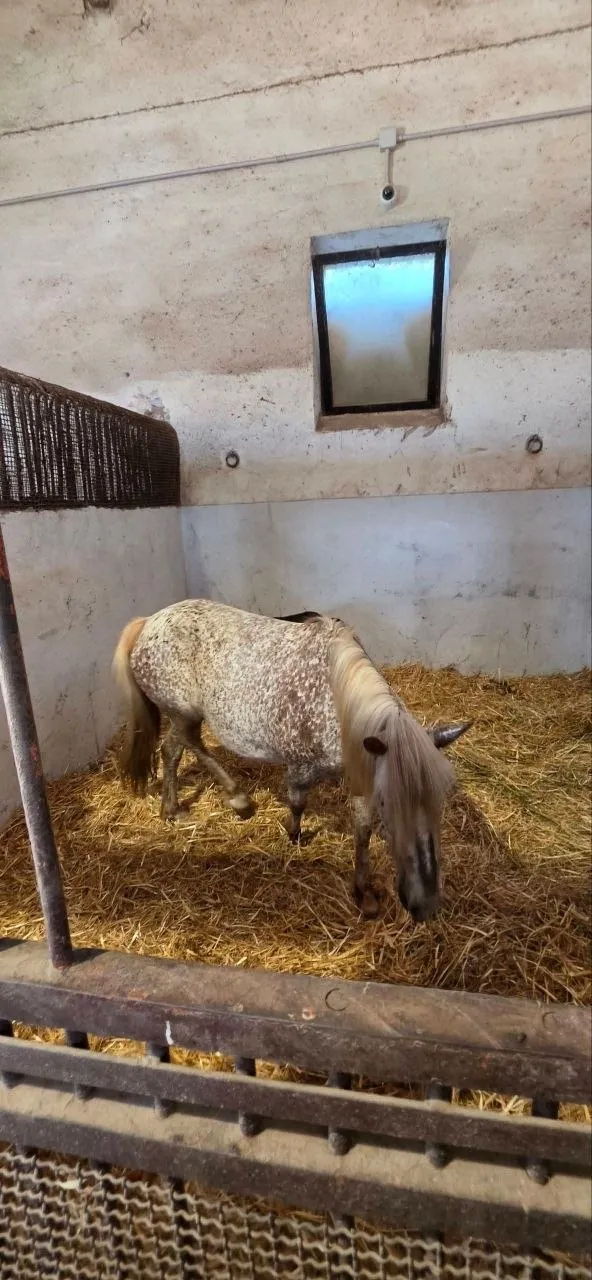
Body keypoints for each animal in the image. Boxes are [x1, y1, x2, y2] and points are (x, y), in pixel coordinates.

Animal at [113, 601, 470, 922]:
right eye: (388, 802)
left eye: (439, 800)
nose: (424, 905)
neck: (332, 701)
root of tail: (148, 622)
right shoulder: (300, 768)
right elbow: (298, 804)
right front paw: (295, 836)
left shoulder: (363, 775)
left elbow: (362, 830)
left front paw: (363, 893)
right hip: (182, 713)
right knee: (185, 745)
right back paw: (236, 798)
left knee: (173, 750)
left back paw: (172, 809)